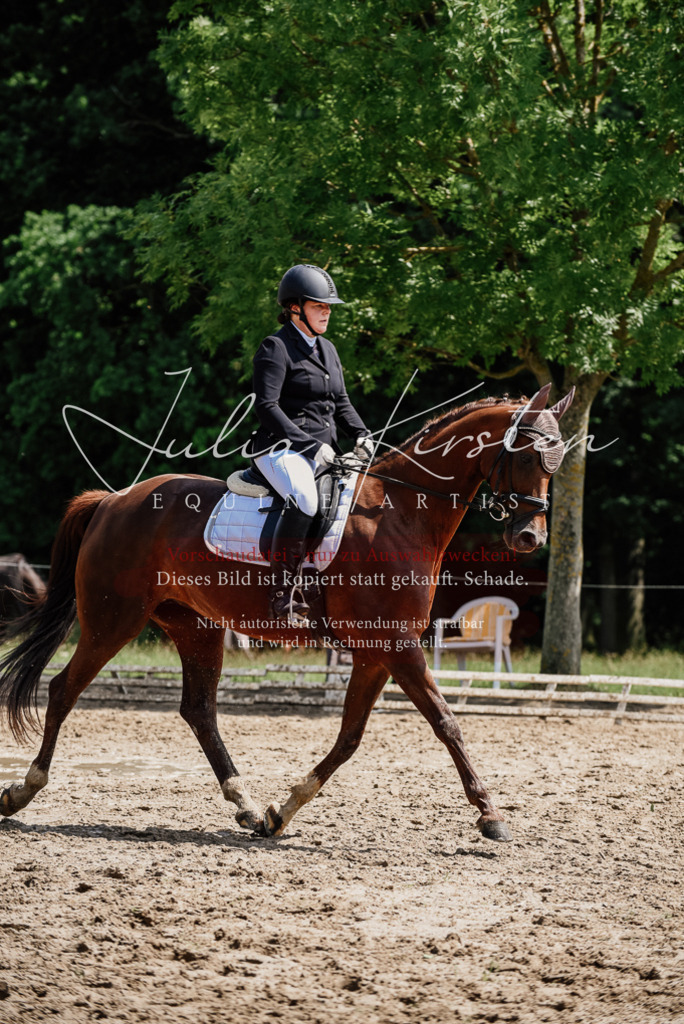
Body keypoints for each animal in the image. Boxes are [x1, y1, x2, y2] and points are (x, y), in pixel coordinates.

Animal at [0, 383, 573, 840]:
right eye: (528, 456)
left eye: (558, 463)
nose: (529, 537)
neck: (401, 514)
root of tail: (112, 500)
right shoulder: (396, 646)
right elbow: (446, 723)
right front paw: (490, 815)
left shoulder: (376, 653)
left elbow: (349, 738)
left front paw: (284, 812)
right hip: (112, 619)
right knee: (64, 689)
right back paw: (22, 792)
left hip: (196, 627)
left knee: (199, 711)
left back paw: (249, 809)